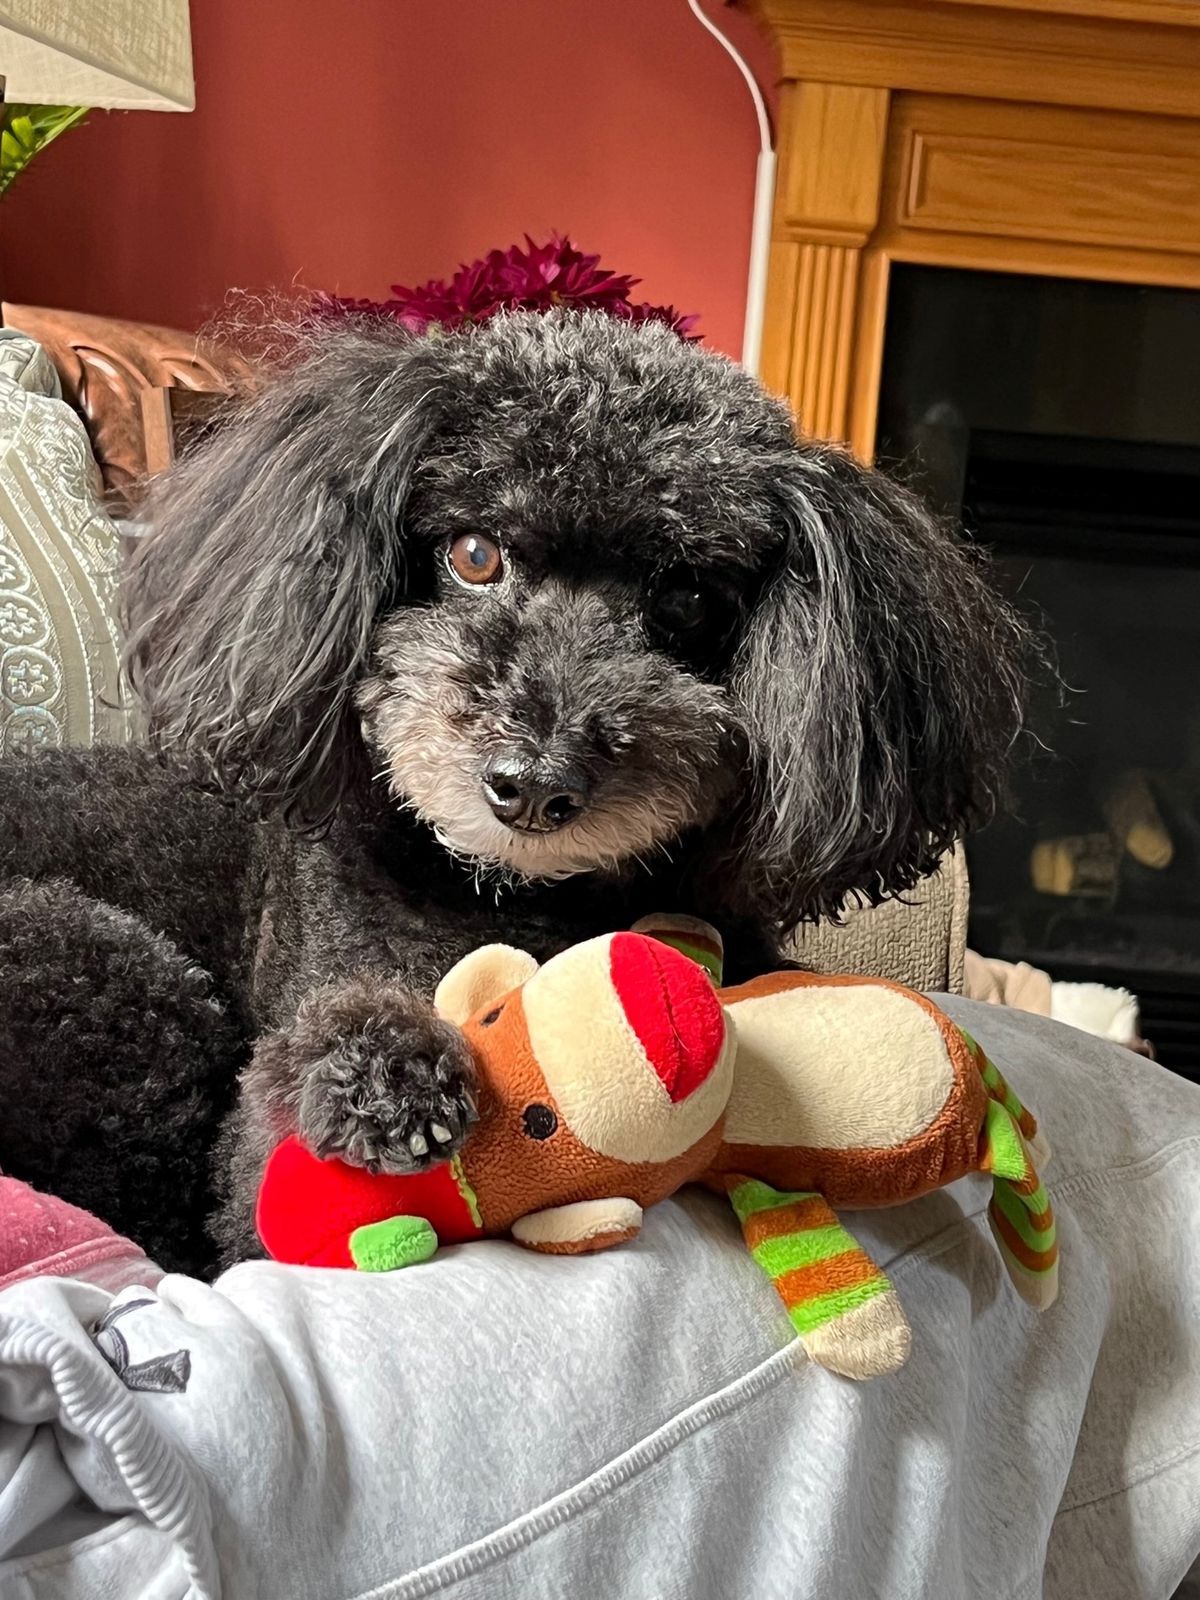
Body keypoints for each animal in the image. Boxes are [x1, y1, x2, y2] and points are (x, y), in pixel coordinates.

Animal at [0, 309, 1030, 1274]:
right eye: (474, 554)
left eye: (687, 601)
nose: (533, 787)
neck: (523, 894)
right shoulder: (260, 1152)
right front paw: (379, 1071)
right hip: (103, 969)